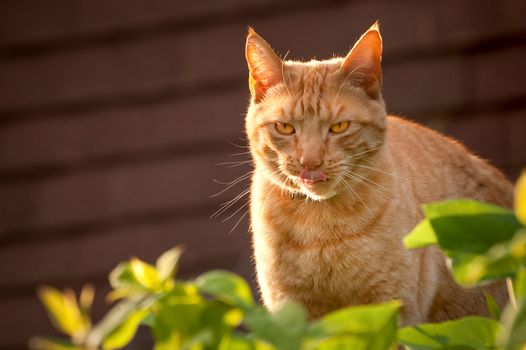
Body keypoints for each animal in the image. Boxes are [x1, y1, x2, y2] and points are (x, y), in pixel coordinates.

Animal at [246, 23, 516, 326]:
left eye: (339, 127)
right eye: (285, 128)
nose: (310, 162)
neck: (321, 229)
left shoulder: (390, 308)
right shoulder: (292, 313)